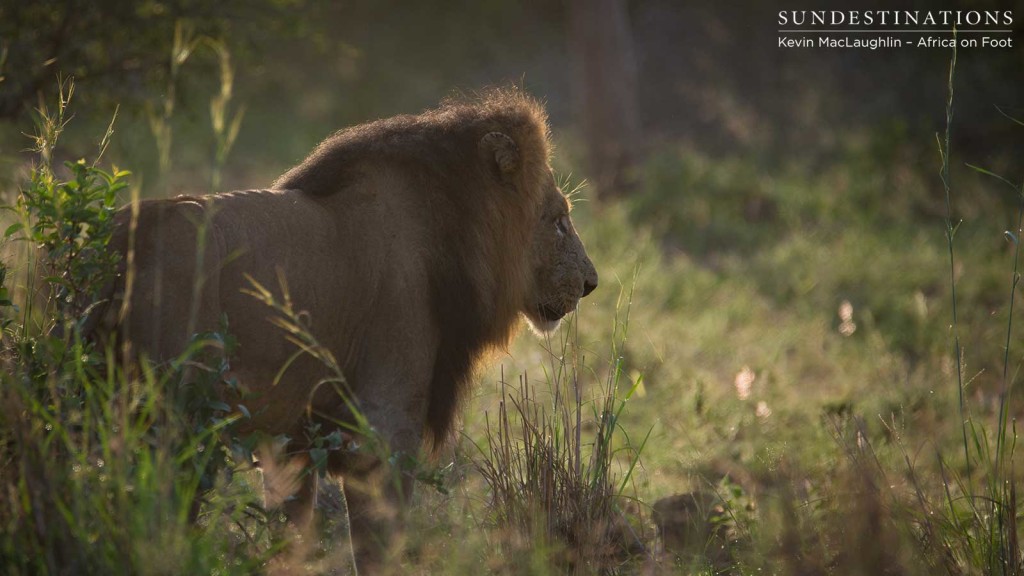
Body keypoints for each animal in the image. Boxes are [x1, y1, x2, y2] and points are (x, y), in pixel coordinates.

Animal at [95, 88, 598, 565]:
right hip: (175, 419)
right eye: (558, 221)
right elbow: (377, 546)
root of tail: (123, 241)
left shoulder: (289, 441)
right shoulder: (384, 425)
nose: (592, 283)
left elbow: (291, 535)